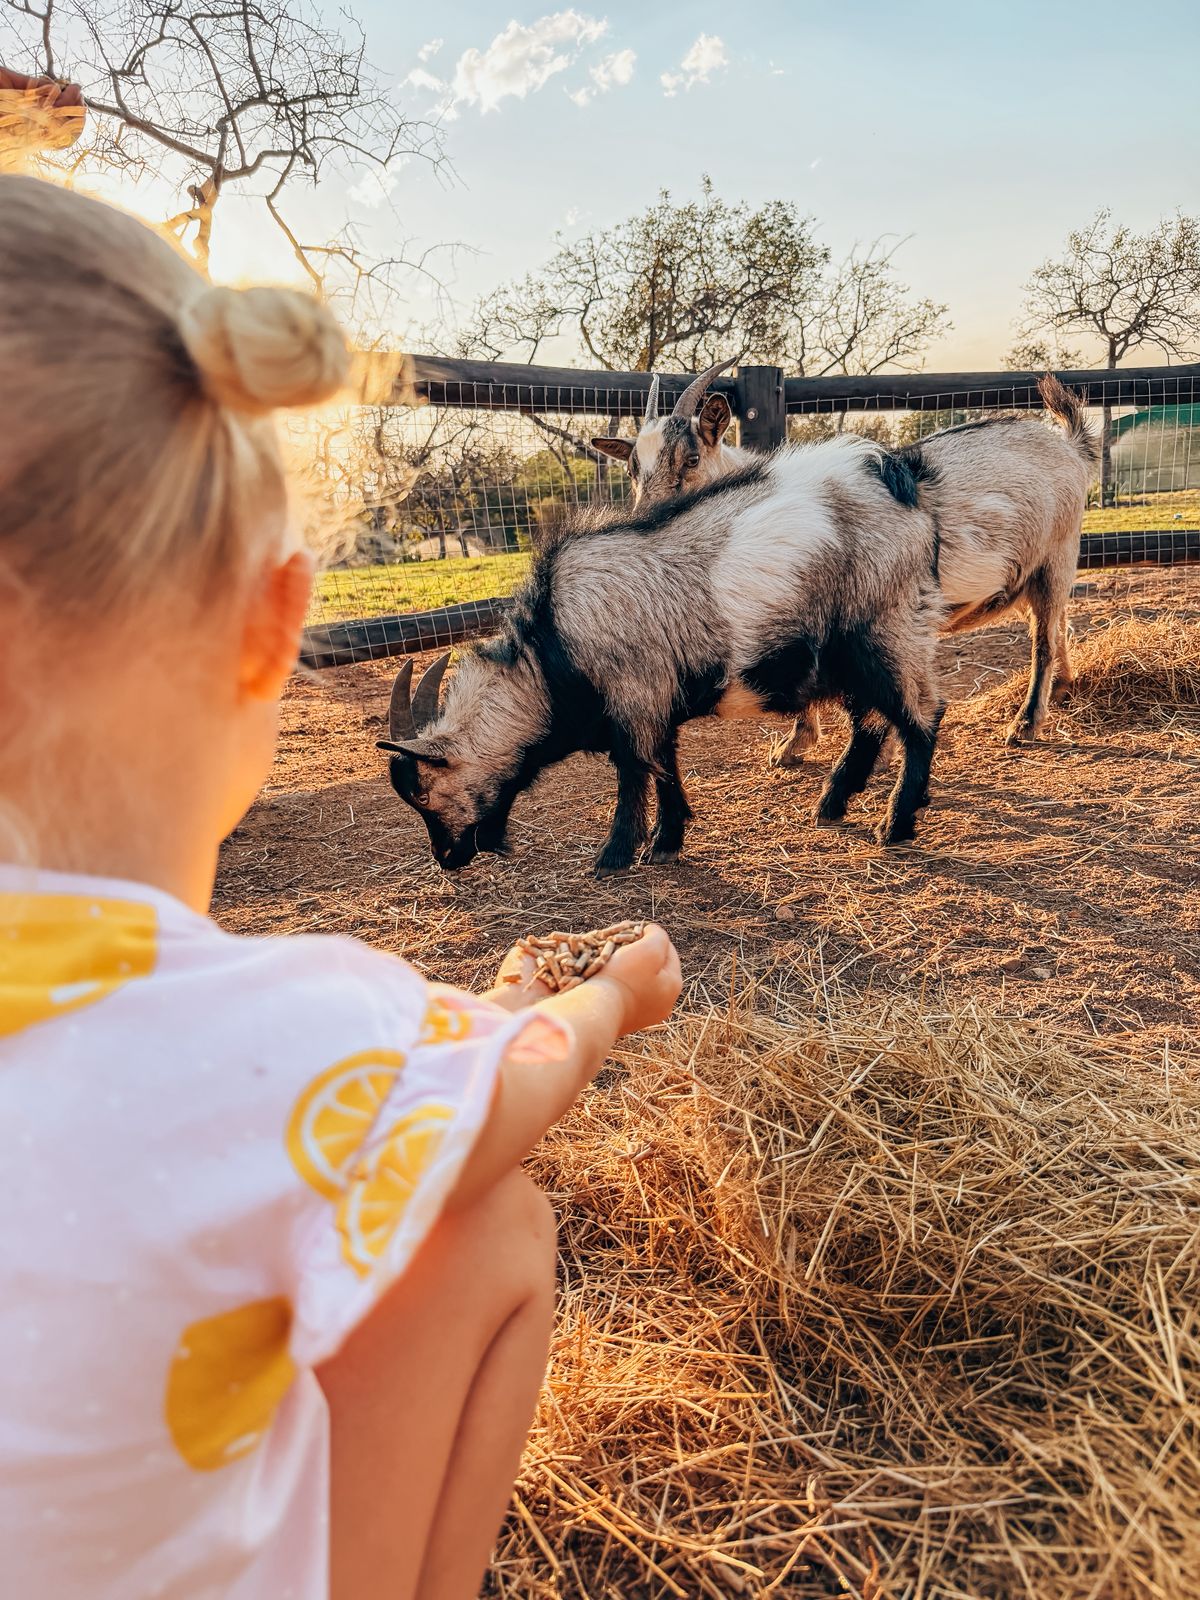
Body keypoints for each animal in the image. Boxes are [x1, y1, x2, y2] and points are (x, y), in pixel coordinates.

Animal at [379, 434, 946, 875]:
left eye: (422, 793)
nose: (446, 858)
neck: (551, 651)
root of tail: (897, 482)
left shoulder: (634, 699)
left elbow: (634, 772)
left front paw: (614, 856)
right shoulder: (657, 705)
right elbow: (665, 766)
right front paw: (667, 842)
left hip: (885, 632)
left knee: (921, 716)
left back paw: (896, 824)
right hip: (852, 659)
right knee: (872, 722)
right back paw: (833, 804)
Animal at [596, 371, 1099, 756]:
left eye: (693, 457)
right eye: (632, 470)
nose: (648, 522)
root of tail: (1070, 447)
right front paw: (795, 746)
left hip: (1058, 555)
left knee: (1043, 640)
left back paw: (1026, 724)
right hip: (1029, 575)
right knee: (1057, 624)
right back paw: (1063, 688)